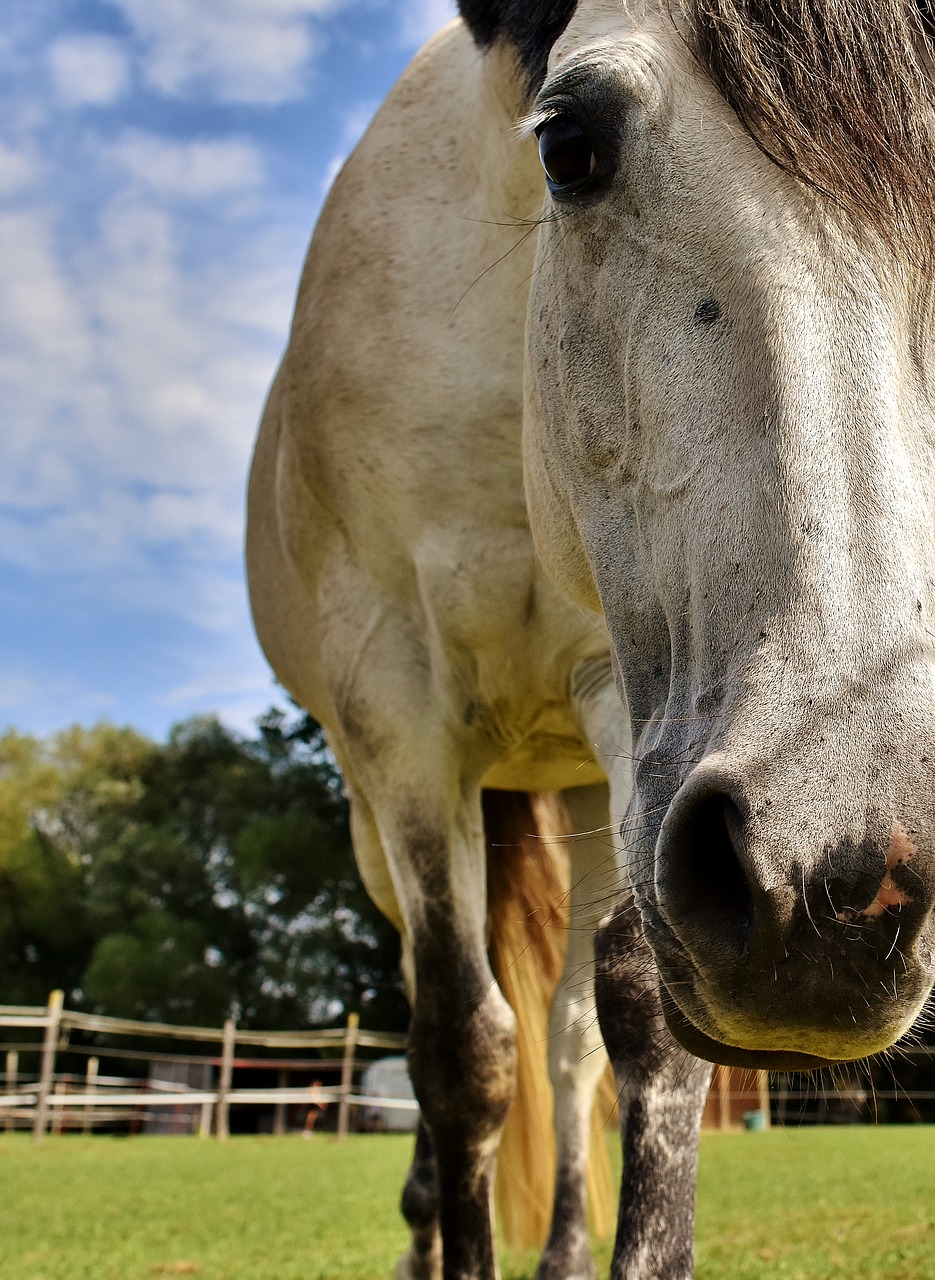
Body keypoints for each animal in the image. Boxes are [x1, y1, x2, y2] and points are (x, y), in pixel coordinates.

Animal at [247, 2, 932, 1280]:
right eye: (566, 146)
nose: (843, 884)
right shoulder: (399, 720)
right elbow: (460, 1049)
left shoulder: (628, 703)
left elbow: (636, 1031)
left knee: (570, 1034)